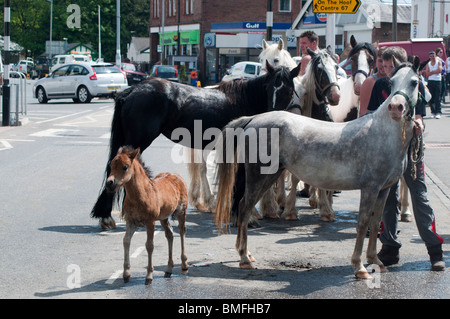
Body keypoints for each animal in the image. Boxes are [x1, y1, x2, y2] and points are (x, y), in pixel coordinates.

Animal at [90, 61, 302, 229]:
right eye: (270, 88)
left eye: (288, 90)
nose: (274, 117)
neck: (246, 100)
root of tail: (132, 90)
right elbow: (239, 182)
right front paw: (242, 217)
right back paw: (108, 216)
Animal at [214, 58, 422, 278]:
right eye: (391, 82)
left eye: (414, 82)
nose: (395, 107)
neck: (382, 133)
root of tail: (253, 120)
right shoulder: (369, 189)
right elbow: (363, 223)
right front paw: (359, 267)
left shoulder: (383, 190)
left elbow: (375, 224)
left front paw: (376, 261)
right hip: (258, 176)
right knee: (244, 208)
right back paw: (244, 258)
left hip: (269, 176)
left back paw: (247, 254)